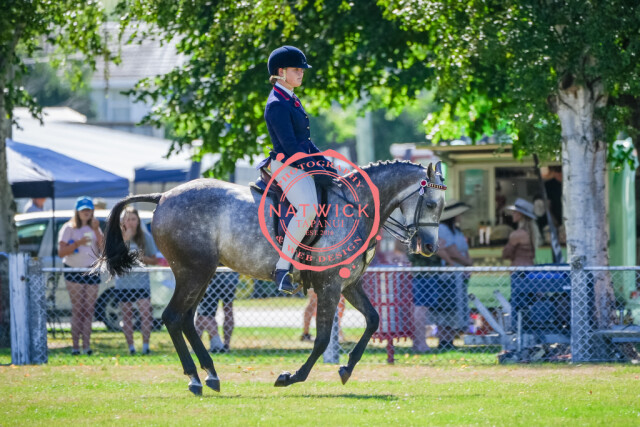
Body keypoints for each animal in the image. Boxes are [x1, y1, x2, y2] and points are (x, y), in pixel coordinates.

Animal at [97, 159, 446, 395]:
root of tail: (164, 196)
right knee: (172, 317)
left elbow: (373, 320)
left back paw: (210, 374)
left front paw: (347, 367)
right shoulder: (329, 286)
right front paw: (291, 377)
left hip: (202, 274)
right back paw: (195, 377)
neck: (355, 208)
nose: (429, 247)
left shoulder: (350, 285)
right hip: (192, 272)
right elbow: (321, 339)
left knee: (185, 319)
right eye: (431, 203)